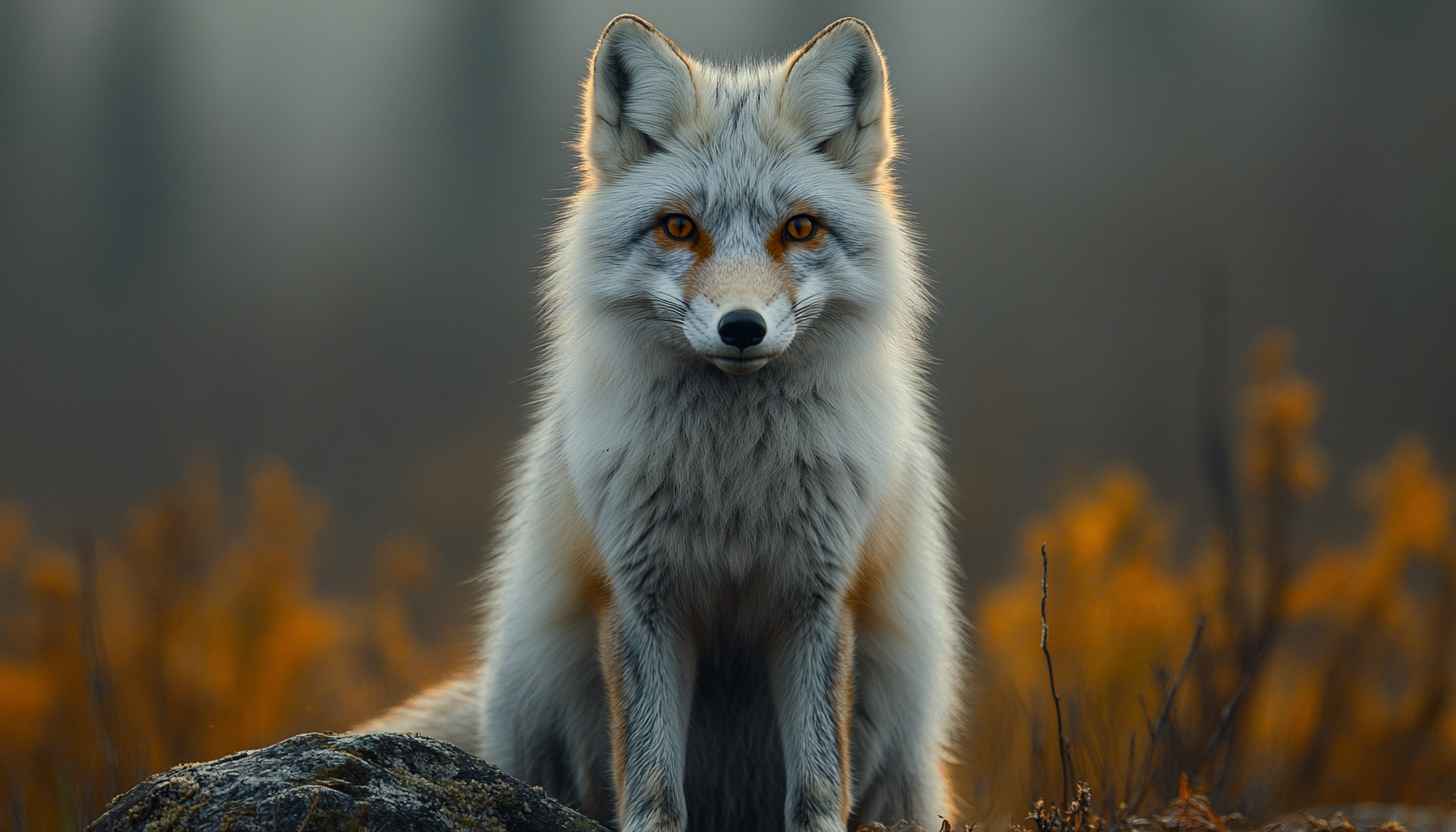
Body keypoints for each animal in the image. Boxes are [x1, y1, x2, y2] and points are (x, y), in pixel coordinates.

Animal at [361, 15, 964, 832]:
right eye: (679, 227)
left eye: (799, 228)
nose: (741, 327)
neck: (734, 482)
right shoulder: (641, 596)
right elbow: (651, 784)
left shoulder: (817, 599)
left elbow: (816, 785)